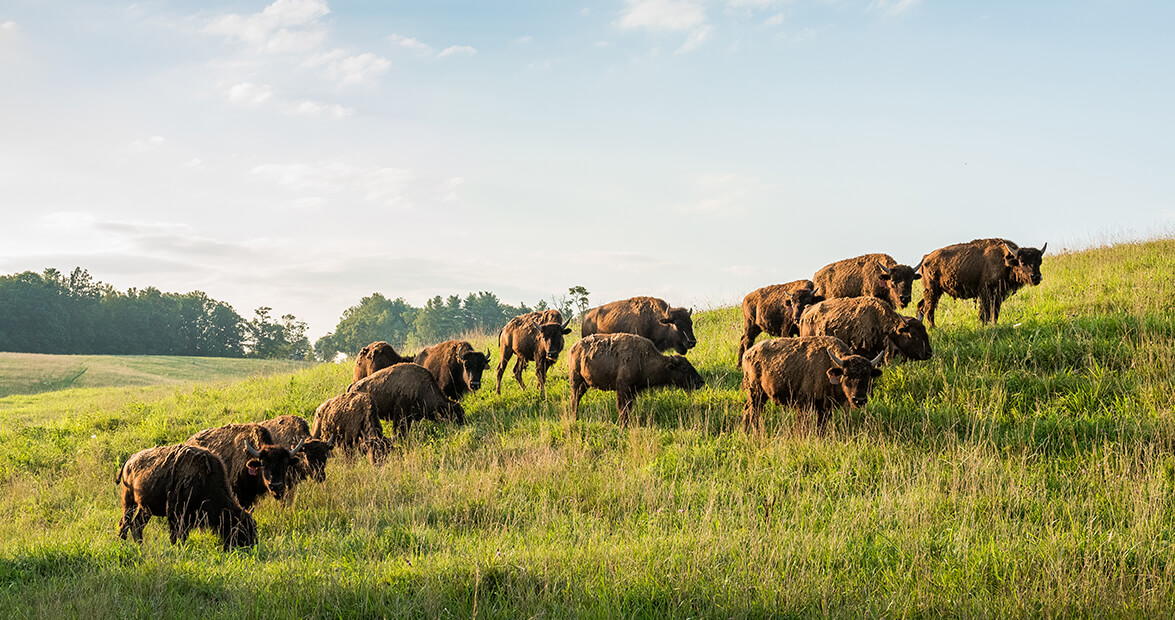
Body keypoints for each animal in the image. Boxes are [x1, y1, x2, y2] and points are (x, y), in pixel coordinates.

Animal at [116, 444, 257, 550]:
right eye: (240, 528)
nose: (251, 546)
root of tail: (130, 459)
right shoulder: (176, 516)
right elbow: (177, 537)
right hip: (128, 502)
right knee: (124, 523)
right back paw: (122, 545)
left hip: (145, 509)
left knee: (136, 525)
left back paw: (140, 546)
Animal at [568, 333, 705, 425]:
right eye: (684, 368)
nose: (701, 382)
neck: (643, 359)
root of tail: (573, 348)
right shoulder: (623, 389)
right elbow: (622, 408)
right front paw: (623, 425)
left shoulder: (632, 391)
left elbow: (628, 408)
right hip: (576, 380)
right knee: (575, 399)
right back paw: (573, 417)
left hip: (584, 384)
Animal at [741, 336, 884, 432]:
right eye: (846, 375)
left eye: (867, 376)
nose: (859, 400)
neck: (830, 364)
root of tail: (748, 353)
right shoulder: (803, 405)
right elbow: (802, 427)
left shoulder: (824, 409)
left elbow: (821, 428)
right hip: (756, 393)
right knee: (752, 413)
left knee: (749, 412)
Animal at [917, 238, 1046, 327]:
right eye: (1022, 262)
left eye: (1039, 261)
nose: (1036, 277)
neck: (1005, 261)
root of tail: (926, 258)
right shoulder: (985, 294)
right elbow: (985, 313)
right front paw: (984, 326)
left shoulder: (998, 296)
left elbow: (995, 313)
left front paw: (993, 325)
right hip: (932, 291)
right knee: (929, 309)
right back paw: (933, 328)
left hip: (934, 292)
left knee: (921, 306)